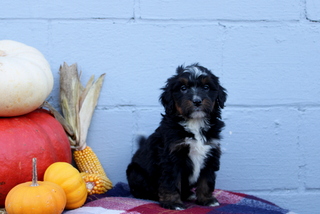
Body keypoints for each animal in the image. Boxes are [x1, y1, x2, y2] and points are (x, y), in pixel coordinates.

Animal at [126, 63, 226, 209]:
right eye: (183, 88)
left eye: (206, 87)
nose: (197, 101)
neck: (195, 123)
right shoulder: (171, 156)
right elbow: (171, 182)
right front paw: (173, 203)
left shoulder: (211, 151)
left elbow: (206, 180)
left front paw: (207, 200)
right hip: (135, 172)